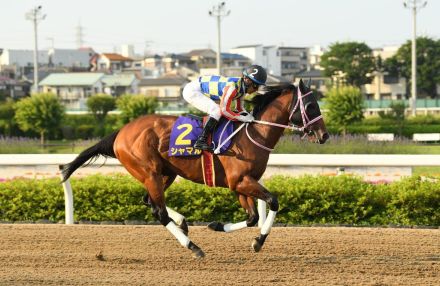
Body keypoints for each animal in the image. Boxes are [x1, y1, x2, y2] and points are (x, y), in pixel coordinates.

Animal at [63, 79, 328, 260]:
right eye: (311, 106)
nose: (324, 136)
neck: (253, 133)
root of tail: (121, 132)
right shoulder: (240, 181)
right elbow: (273, 202)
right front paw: (259, 241)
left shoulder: (241, 184)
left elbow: (252, 217)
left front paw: (218, 226)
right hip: (149, 172)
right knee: (159, 211)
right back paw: (193, 246)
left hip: (165, 173)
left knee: (149, 201)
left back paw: (182, 222)